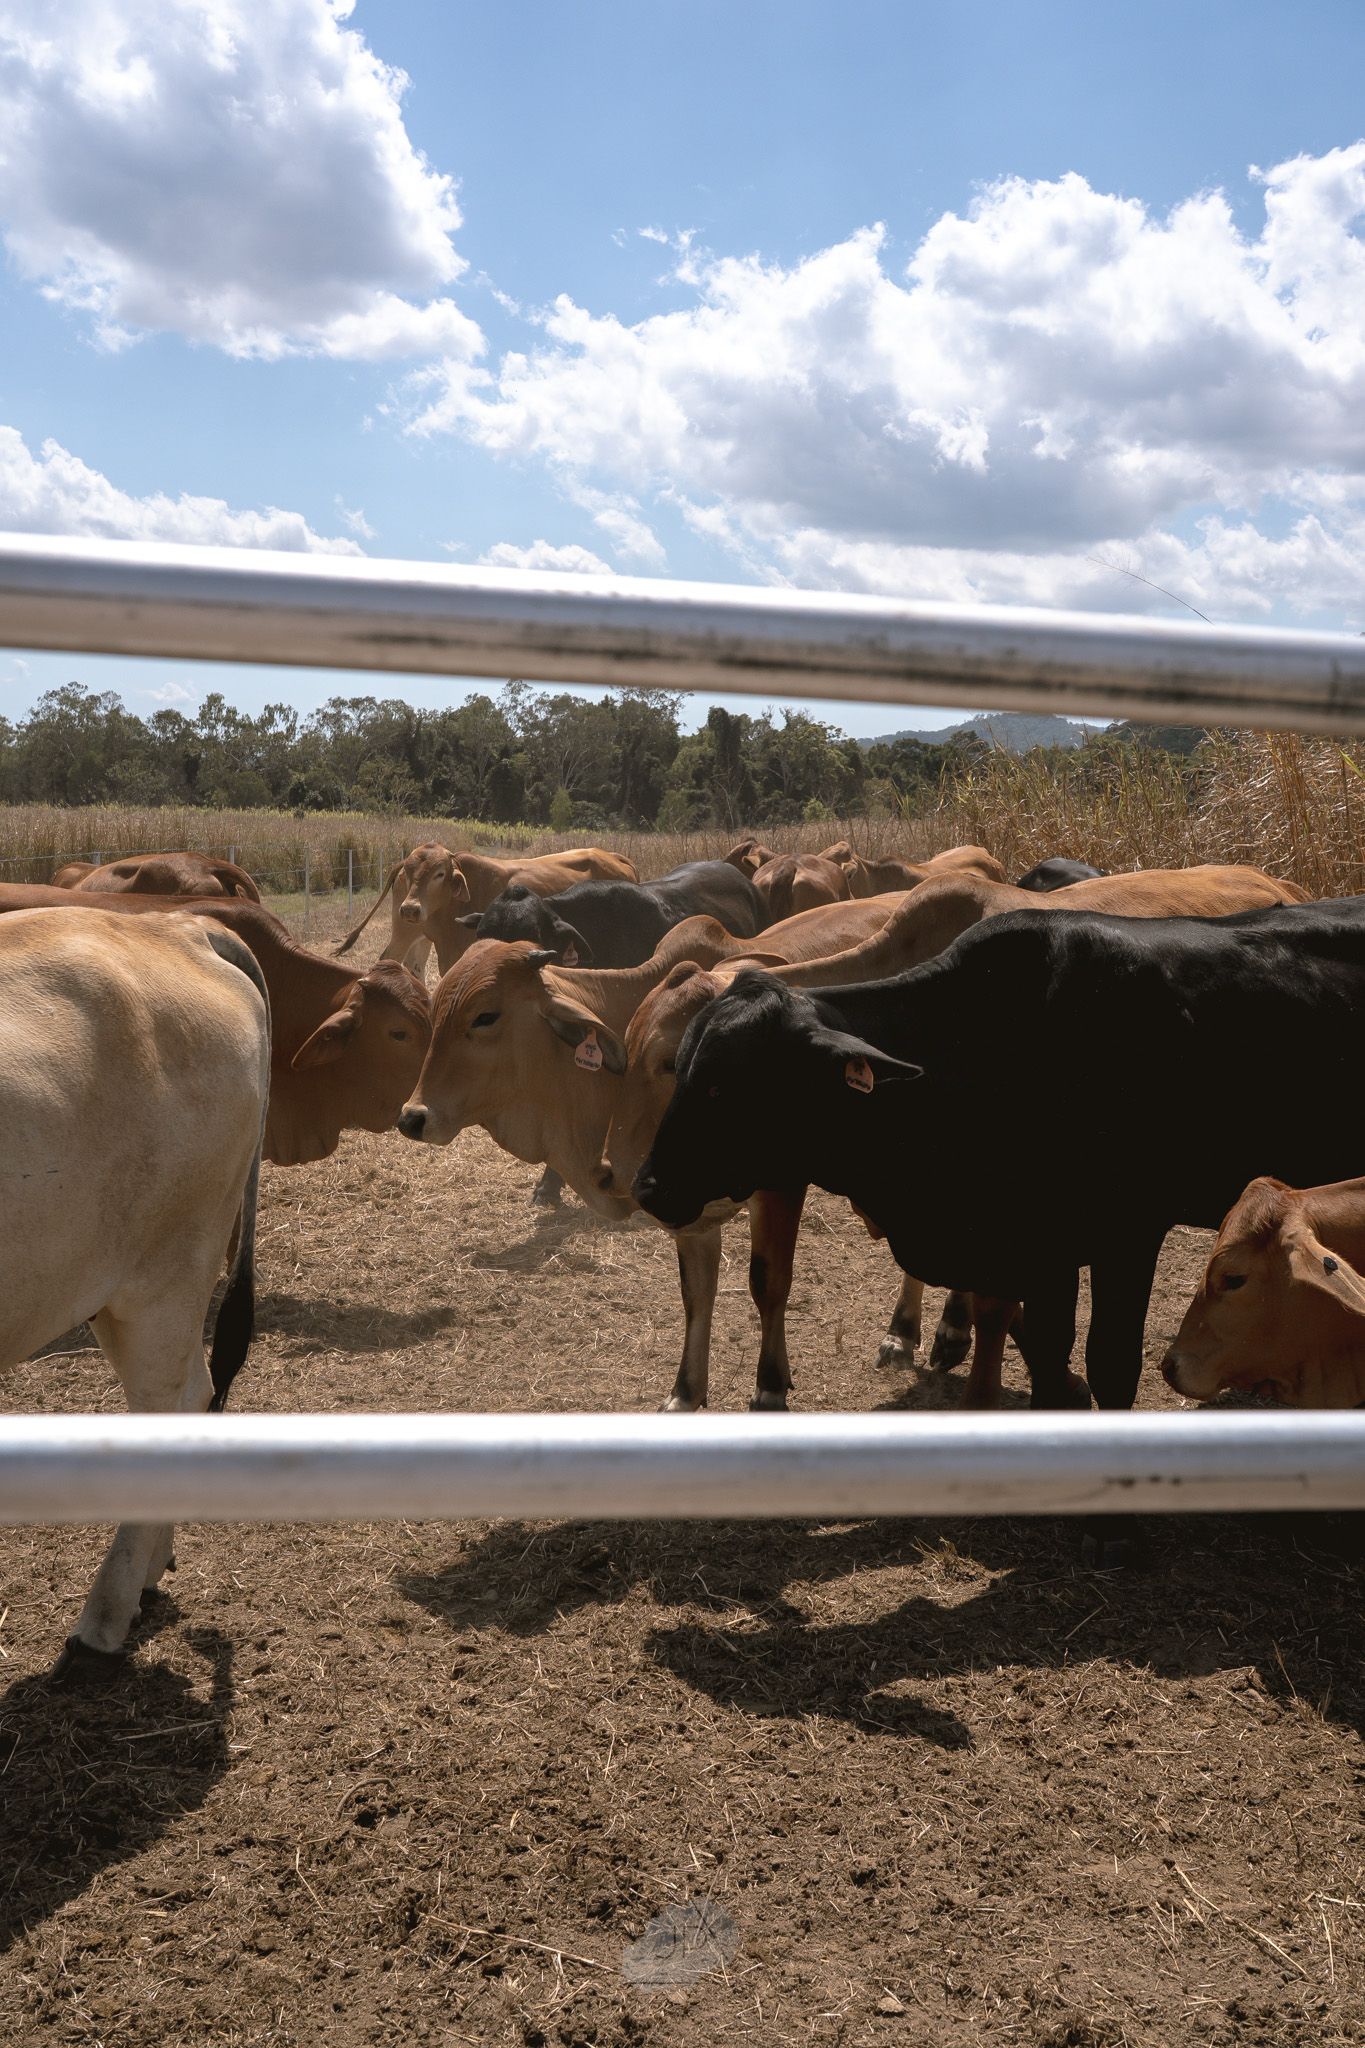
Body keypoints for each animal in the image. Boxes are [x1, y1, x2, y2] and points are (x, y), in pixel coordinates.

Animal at [0, 908, 270, 1670]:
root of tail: (178, 926)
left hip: (164, 1275)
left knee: (167, 1407)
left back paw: (106, 1613)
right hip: (113, 1289)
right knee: (193, 1392)